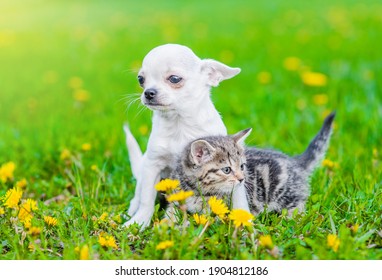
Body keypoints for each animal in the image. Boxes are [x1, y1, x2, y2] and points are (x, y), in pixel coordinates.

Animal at [124, 44, 249, 228]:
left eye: (174, 79)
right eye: (141, 79)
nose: (148, 92)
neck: (179, 124)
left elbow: (239, 196)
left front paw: (245, 221)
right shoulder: (153, 166)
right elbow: (147, 199)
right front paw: (139, 222)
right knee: (139, 193)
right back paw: (132, 210)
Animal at [169, 112, 334, 215]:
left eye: (242, 166)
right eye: (227, 170)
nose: (242, 179)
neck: (196, 190)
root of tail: (295, 162)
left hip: (288, 195)